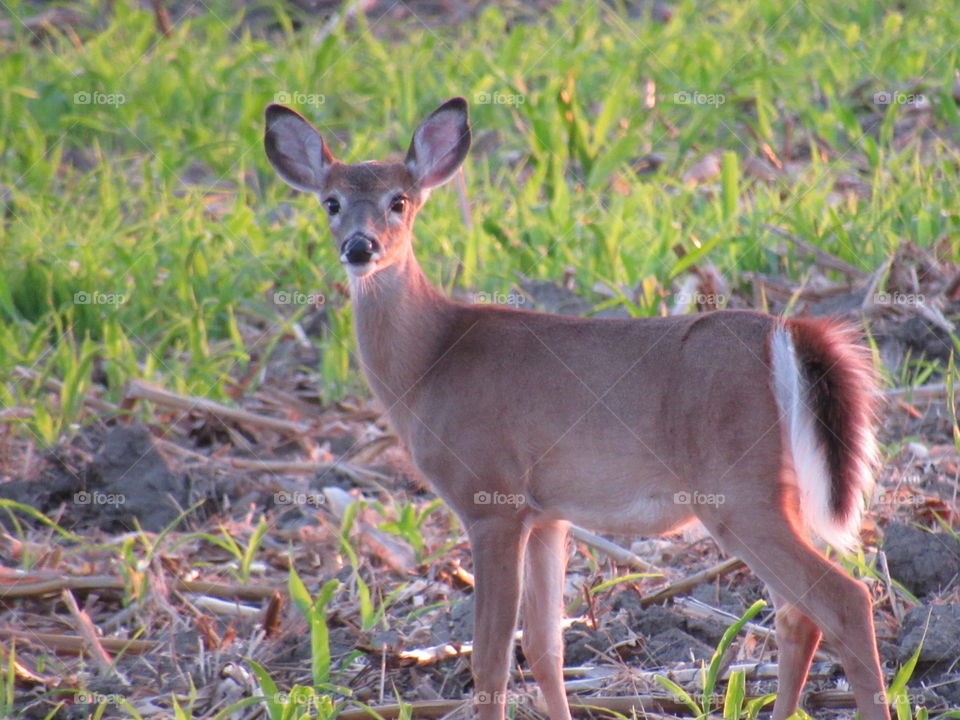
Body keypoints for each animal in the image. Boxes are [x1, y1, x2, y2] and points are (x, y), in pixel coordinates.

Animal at [264, 97, 892, 720]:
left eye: (400, 201)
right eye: (331, 202)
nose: (360, 246)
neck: (430, 358)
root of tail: (787, 331)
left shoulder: (492, 500)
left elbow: (490, 661)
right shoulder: (548, 515)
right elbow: (545, 648)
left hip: (738, 492)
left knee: (844, 599)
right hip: (773, 496)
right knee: (798, 617)